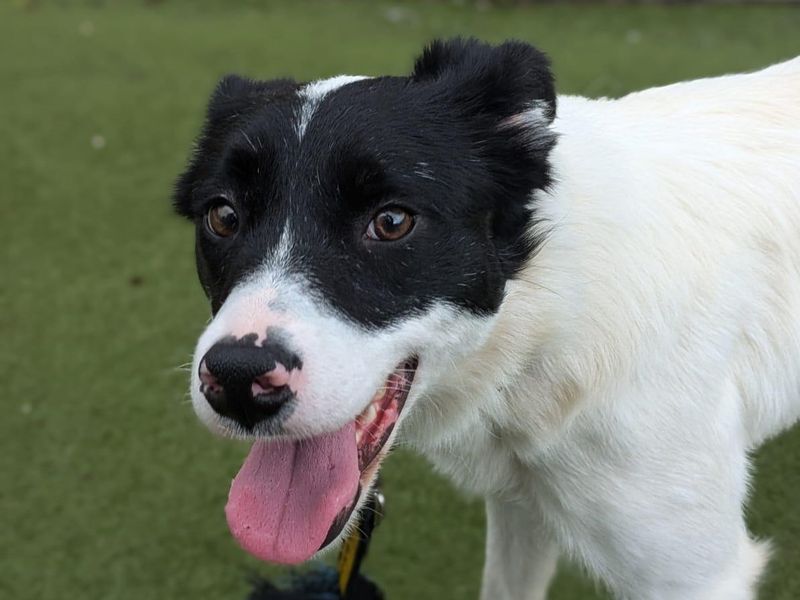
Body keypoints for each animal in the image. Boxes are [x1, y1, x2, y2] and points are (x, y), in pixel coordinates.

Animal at [175, 38, 800, 600]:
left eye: (392, 221)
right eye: (223, 215)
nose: (237, 381)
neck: (549, 313)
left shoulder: (693, 574)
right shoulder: (522, 505)